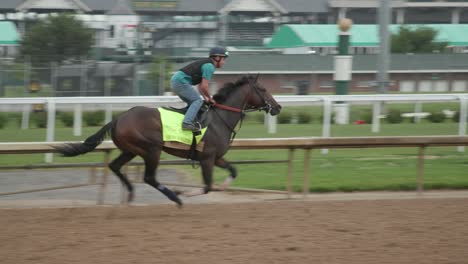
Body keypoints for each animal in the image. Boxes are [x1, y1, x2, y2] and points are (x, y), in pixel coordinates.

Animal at [54, 75, 282, 206]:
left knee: (115, 166)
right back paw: (175, 197)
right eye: (263, 89)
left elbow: (233, 171)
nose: (278, 107)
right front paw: (184, 192)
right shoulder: (207, 158)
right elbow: (207, 186)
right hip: (151, 149)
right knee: (149, 178)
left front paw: (224, 188)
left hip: (130, 149)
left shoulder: (216, 157)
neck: (220, 119)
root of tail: (119, 118)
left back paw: (130, 194)